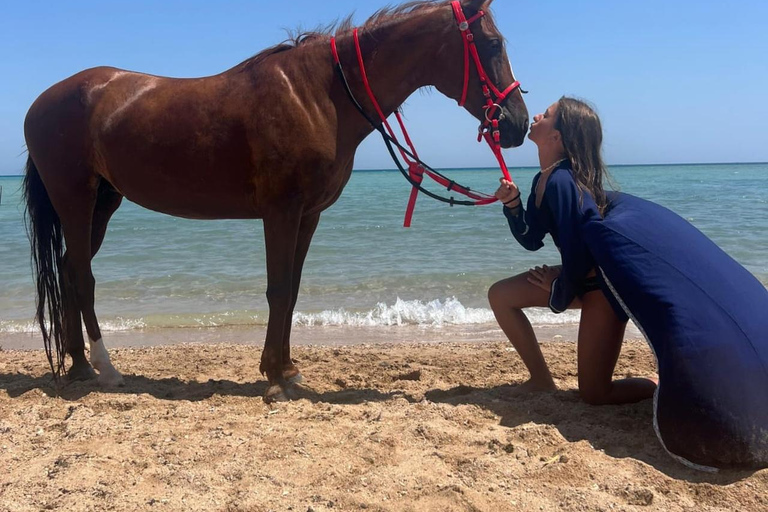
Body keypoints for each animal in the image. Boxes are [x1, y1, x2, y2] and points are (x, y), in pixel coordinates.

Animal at [22, 0, 529, 402]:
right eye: (492, 44)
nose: (517, 123)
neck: (318, 95)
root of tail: (41, 102)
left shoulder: (307, 216)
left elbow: (293, 291)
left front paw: (286, 368)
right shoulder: (280, 212)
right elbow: (279, 289)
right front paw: (273, 376)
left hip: (103, 204)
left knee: (68, 271)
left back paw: (78, 365)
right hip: (76, 199)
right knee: (82, 276)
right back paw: (106, 368)